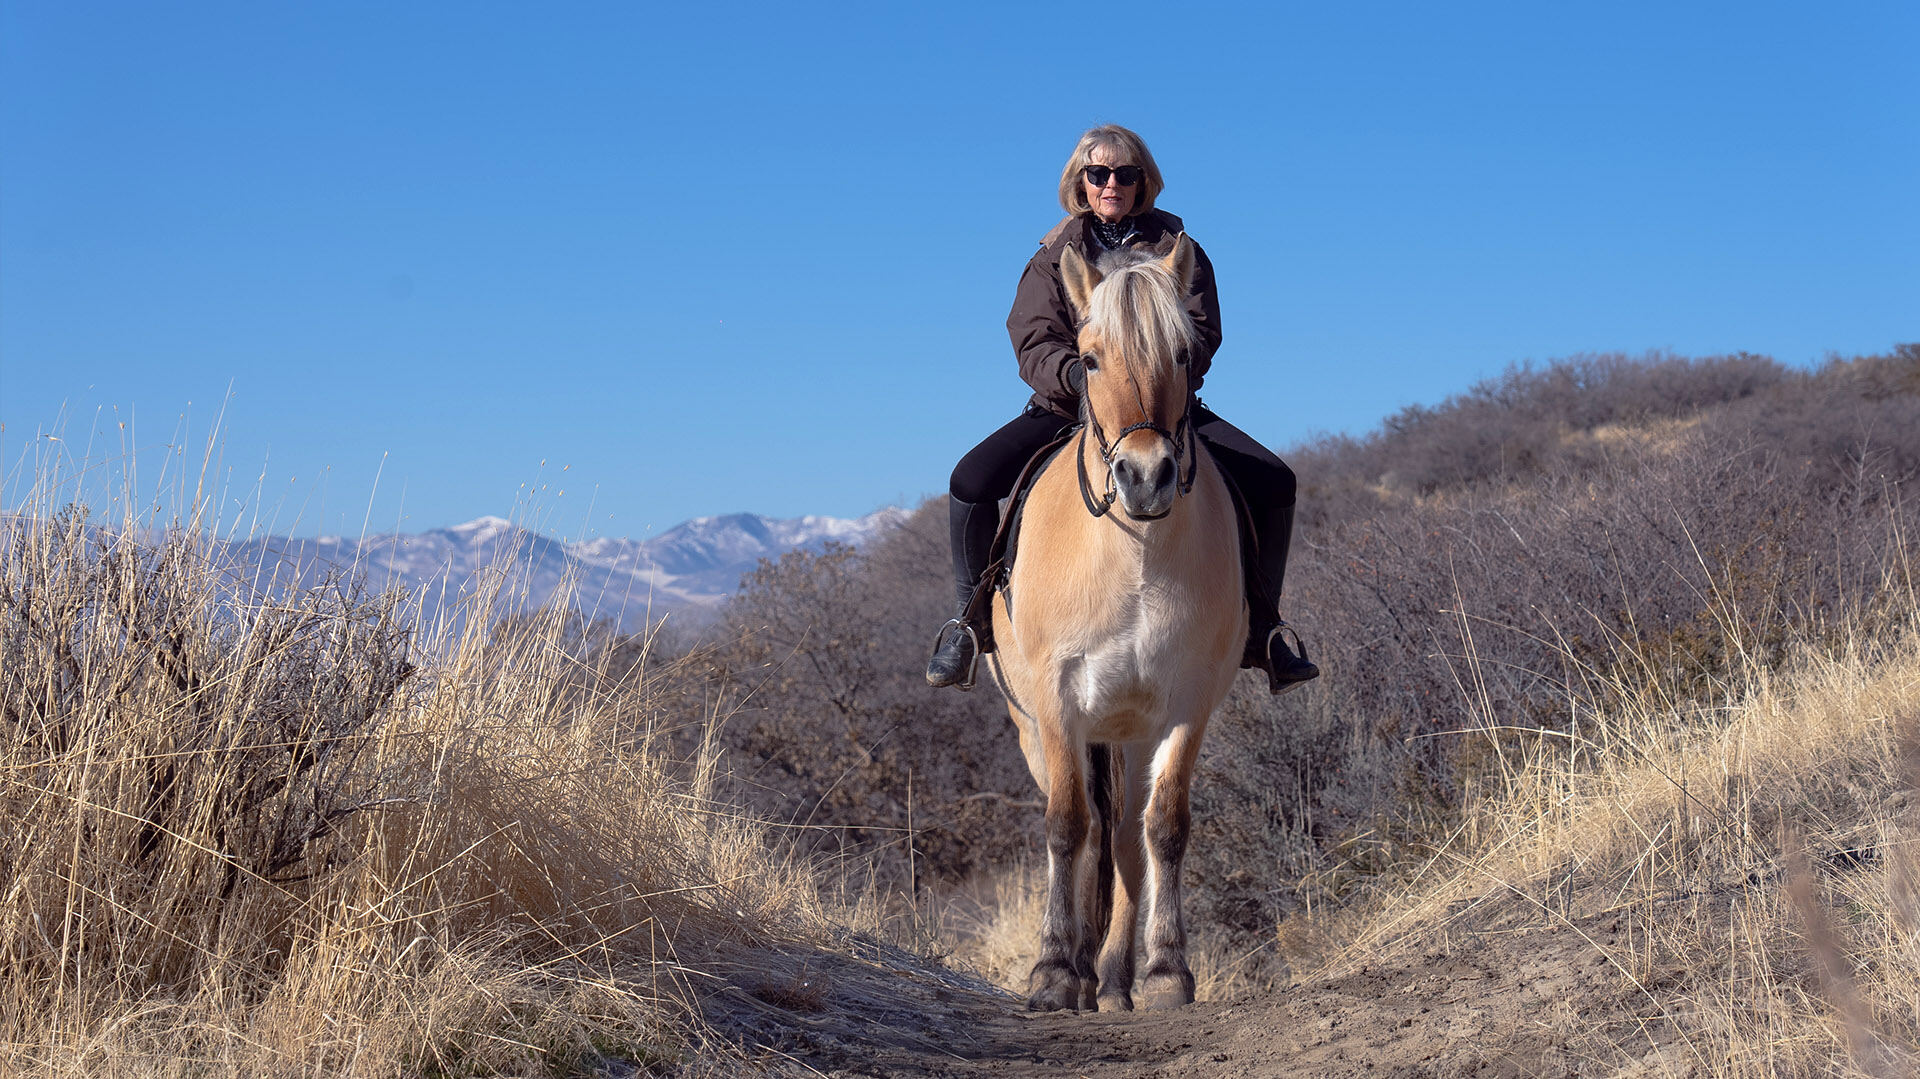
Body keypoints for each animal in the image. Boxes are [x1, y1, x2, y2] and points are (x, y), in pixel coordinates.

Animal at [986, 233, 1246, 1012]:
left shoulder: (1188, 702)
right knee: (1090, 832)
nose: (1145, 475)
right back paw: (1076, 969)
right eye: (1091, 358)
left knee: (1126, 840)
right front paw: (1049, 970)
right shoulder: (1056, 701)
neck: (1134, 550)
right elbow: (1066, 825)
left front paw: (1166, 970)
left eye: (1185, 353)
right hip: (1040, 731)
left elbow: (1165, 828)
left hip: (1131, 731)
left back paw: (1111, 976)